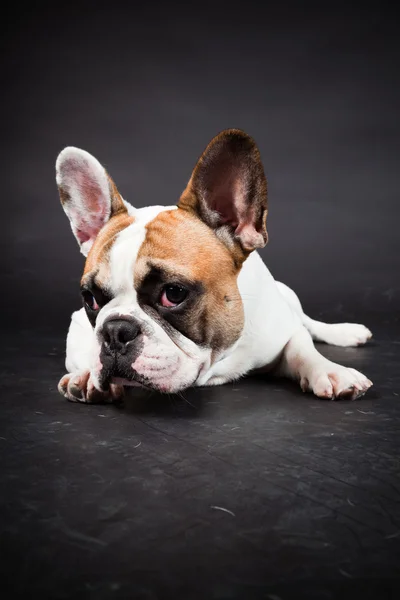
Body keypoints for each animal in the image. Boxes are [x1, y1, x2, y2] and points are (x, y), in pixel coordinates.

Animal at [55, 130, 372, 404]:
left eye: (173, 293)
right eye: (90, 299)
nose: (115, 331)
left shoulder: (285, 329)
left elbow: (302, 349)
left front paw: (330, 370)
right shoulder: (78, 325)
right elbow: (85, 348)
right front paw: (86, 376)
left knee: (309, 322)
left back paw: (346, 332)